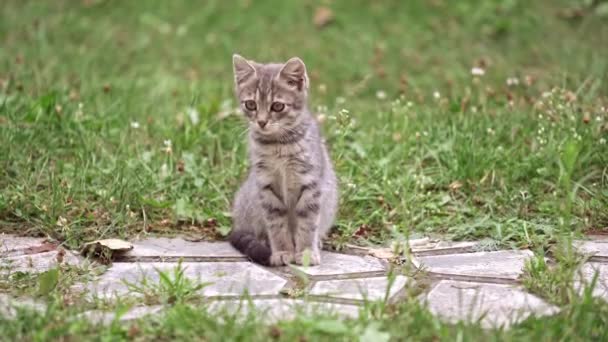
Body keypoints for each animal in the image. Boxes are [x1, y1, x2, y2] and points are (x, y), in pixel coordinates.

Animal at [229, 54, 340, 266]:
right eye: (250, 104)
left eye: (277, 106)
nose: (261, 122)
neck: (278, 144)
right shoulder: (265, 185)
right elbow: (276, 224)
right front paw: (282, 251)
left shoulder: (310, 184)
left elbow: (307, 223)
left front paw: (305, 252)